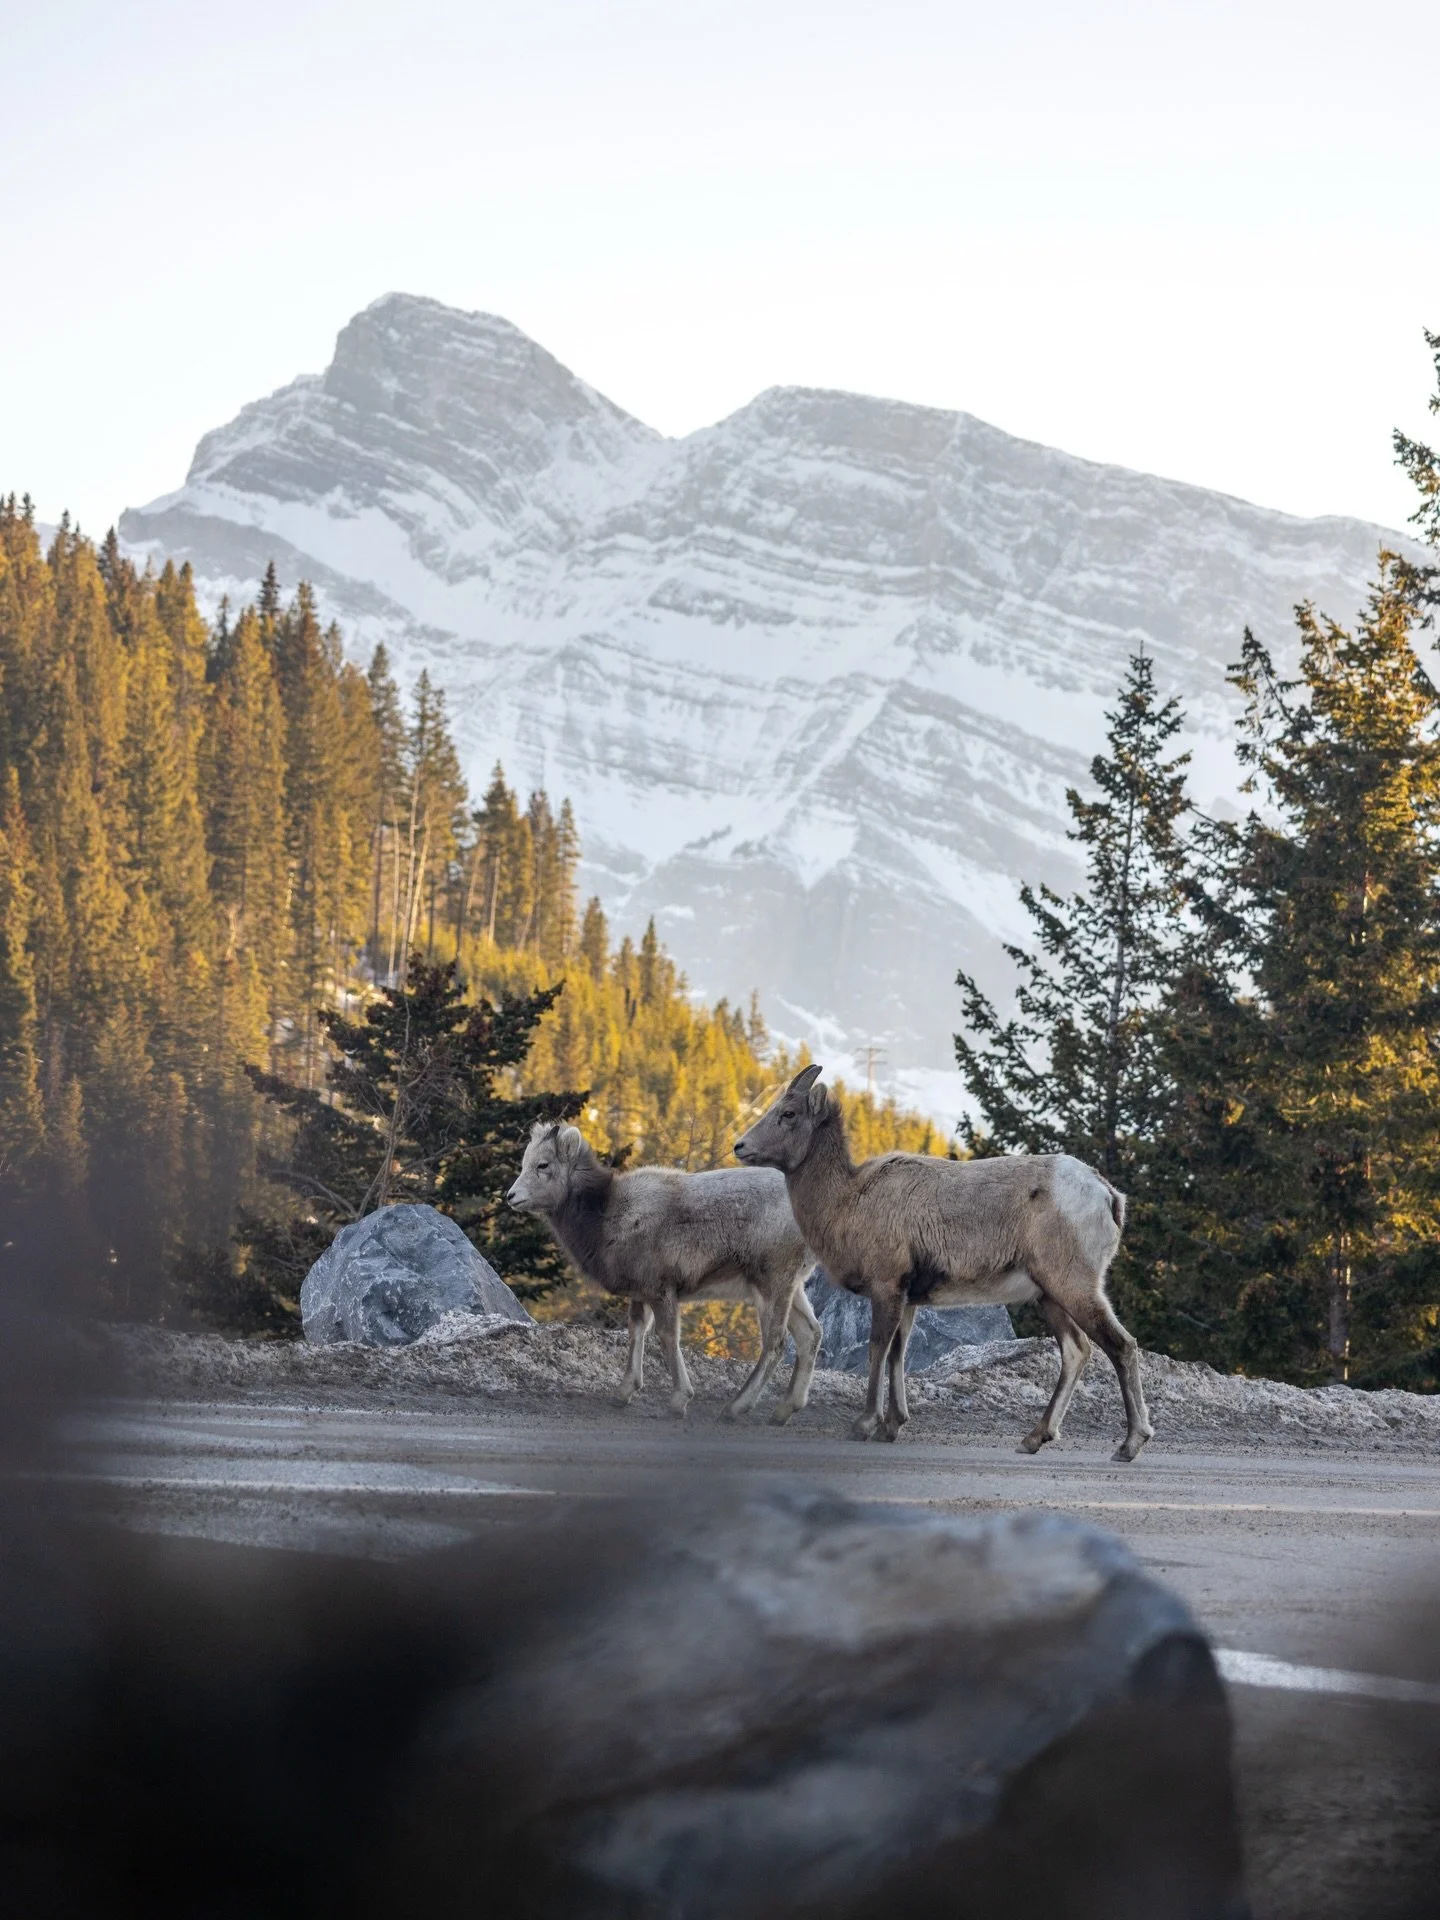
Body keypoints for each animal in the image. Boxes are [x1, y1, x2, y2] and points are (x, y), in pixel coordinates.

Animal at [506, 1121, 823, 1422]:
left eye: (543, 1165)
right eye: (525, 1162)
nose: (511, 1196)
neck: (607, 1217)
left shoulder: (662, 1290)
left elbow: (667, 1337)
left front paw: (678, 1402)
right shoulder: (640, 1293)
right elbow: (636, 1331)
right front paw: (623, 1393)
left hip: (771, 1283)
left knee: (776, 1343)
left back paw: (734, 1409)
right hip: (791, 1287)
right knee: (810, 1334)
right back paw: (783, 1412)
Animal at [734, 1065, 1153, 1461]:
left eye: (788, 1113)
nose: (739, 1146)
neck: (848, 1202)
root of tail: (1108, 1195)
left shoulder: (887, 1288)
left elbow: (877, 1350)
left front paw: (864, 1424)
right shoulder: (908, 1299)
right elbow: (898, 1355)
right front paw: (892, 1426)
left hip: (1074, 1286)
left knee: (1121, 1345)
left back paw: (1129, 1445)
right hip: (1048, 1295)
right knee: (1076, 1351)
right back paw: (1033, 1439)